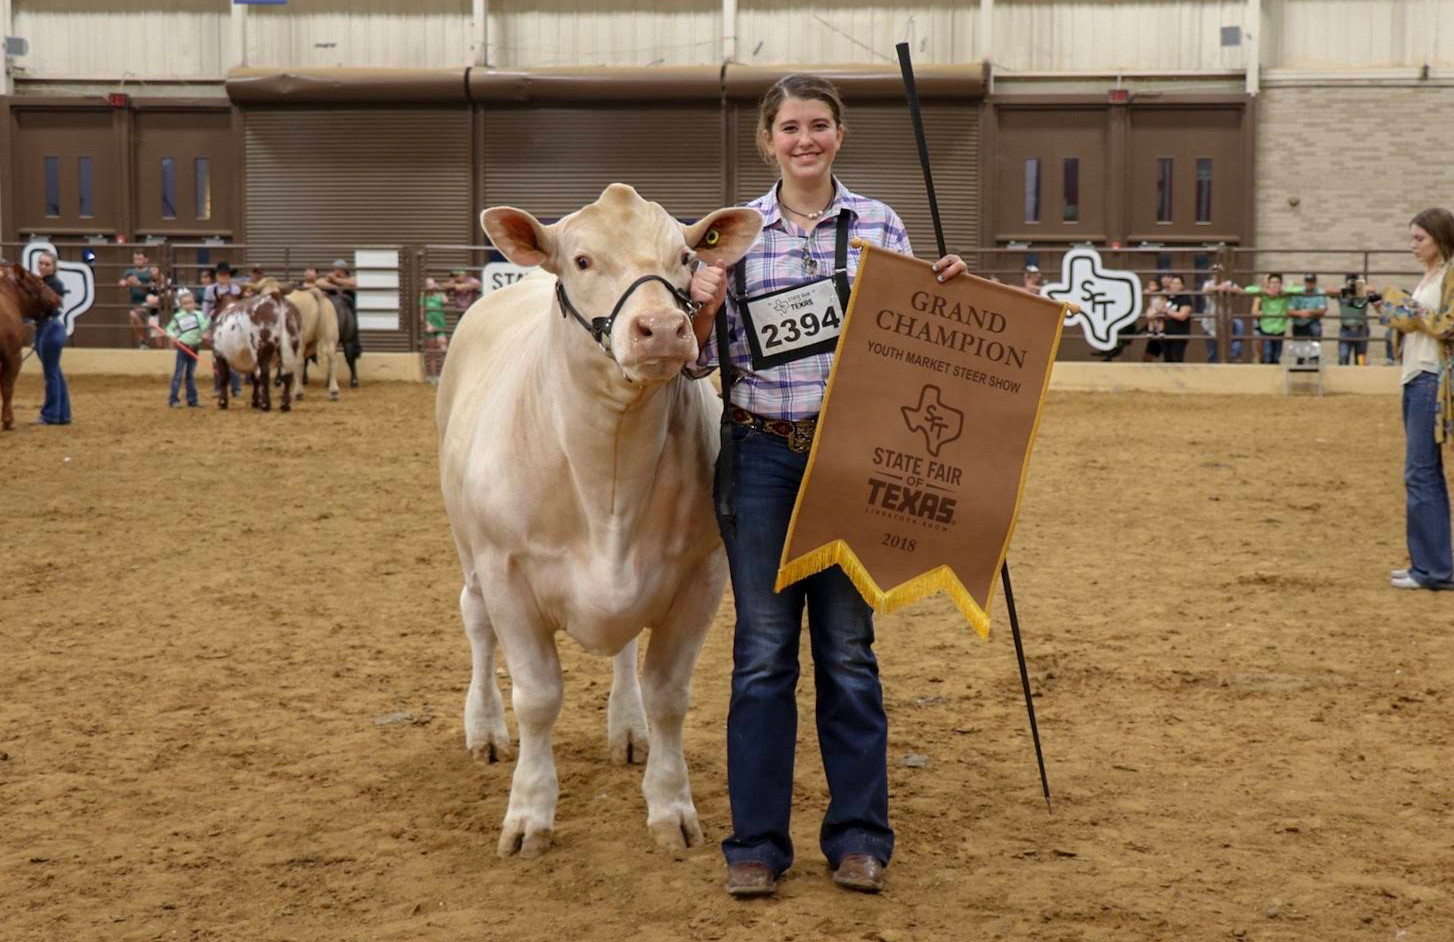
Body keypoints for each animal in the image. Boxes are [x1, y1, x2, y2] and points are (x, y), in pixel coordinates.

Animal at [212, 279, 302, 412]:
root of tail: (275, 297)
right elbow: (255, 379)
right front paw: (255, 401)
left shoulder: (219, 354)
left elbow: (224, 377)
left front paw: (222, 402)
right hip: (291, 346)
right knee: (287, 374)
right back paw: (284, 405)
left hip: (263, 348)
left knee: (265, 373)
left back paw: (266, 404)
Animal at [436, 183, 767, 860]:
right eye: (583, 260)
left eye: (685, 258)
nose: (662, 328)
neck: (607, 483)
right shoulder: (507, 572)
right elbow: (538, 698)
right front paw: (528, 814)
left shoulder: (702, 574)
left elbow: (668, 694)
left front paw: (671, 806)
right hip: (468, 545)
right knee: (476, 624)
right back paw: (484, 729)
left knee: (626, 652)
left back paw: (628, 729)